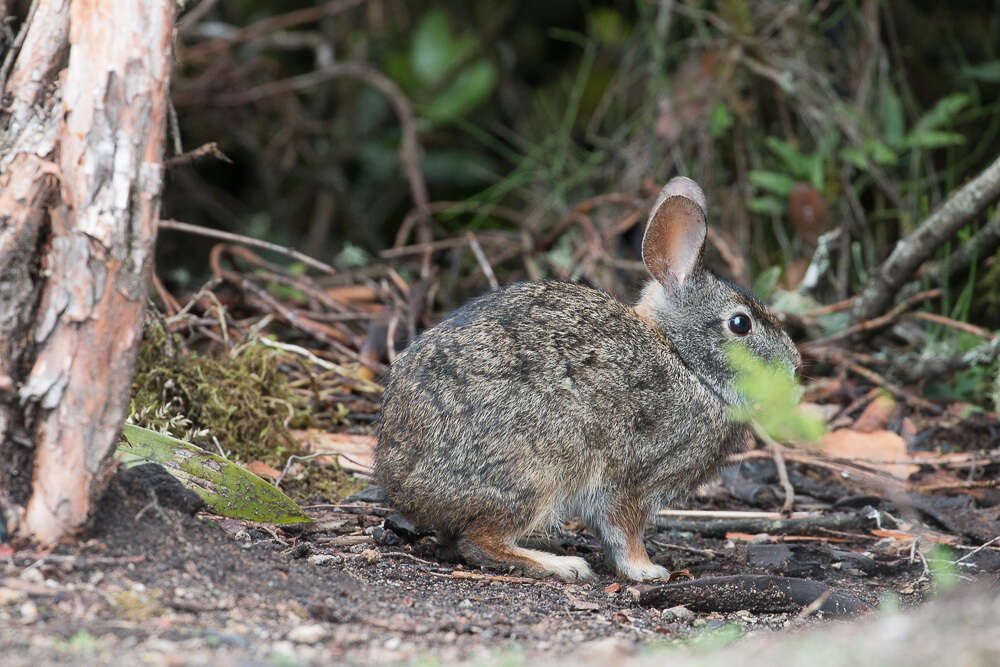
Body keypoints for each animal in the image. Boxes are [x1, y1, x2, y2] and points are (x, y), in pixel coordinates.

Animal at [376, 179, 804, 584]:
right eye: (740, 324)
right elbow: (624, 531)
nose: (794, 367)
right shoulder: (635, 478)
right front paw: (646, 570)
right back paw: (563, 565)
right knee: (480, 540)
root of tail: (403, 483)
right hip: (539, 468)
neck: (684, 361)